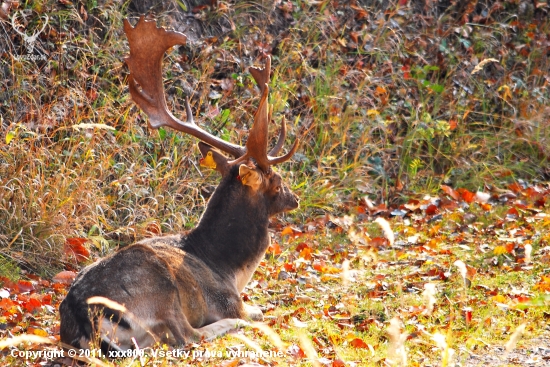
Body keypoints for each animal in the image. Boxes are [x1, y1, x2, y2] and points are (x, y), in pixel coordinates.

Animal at [59, 17, 302, 354]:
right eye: (277, 182)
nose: (295, 198)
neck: (230, 269)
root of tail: (84, 316)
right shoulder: (228, 300)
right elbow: (255, 310)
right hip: (161, 291)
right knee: (186, 337)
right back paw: (230, 326)